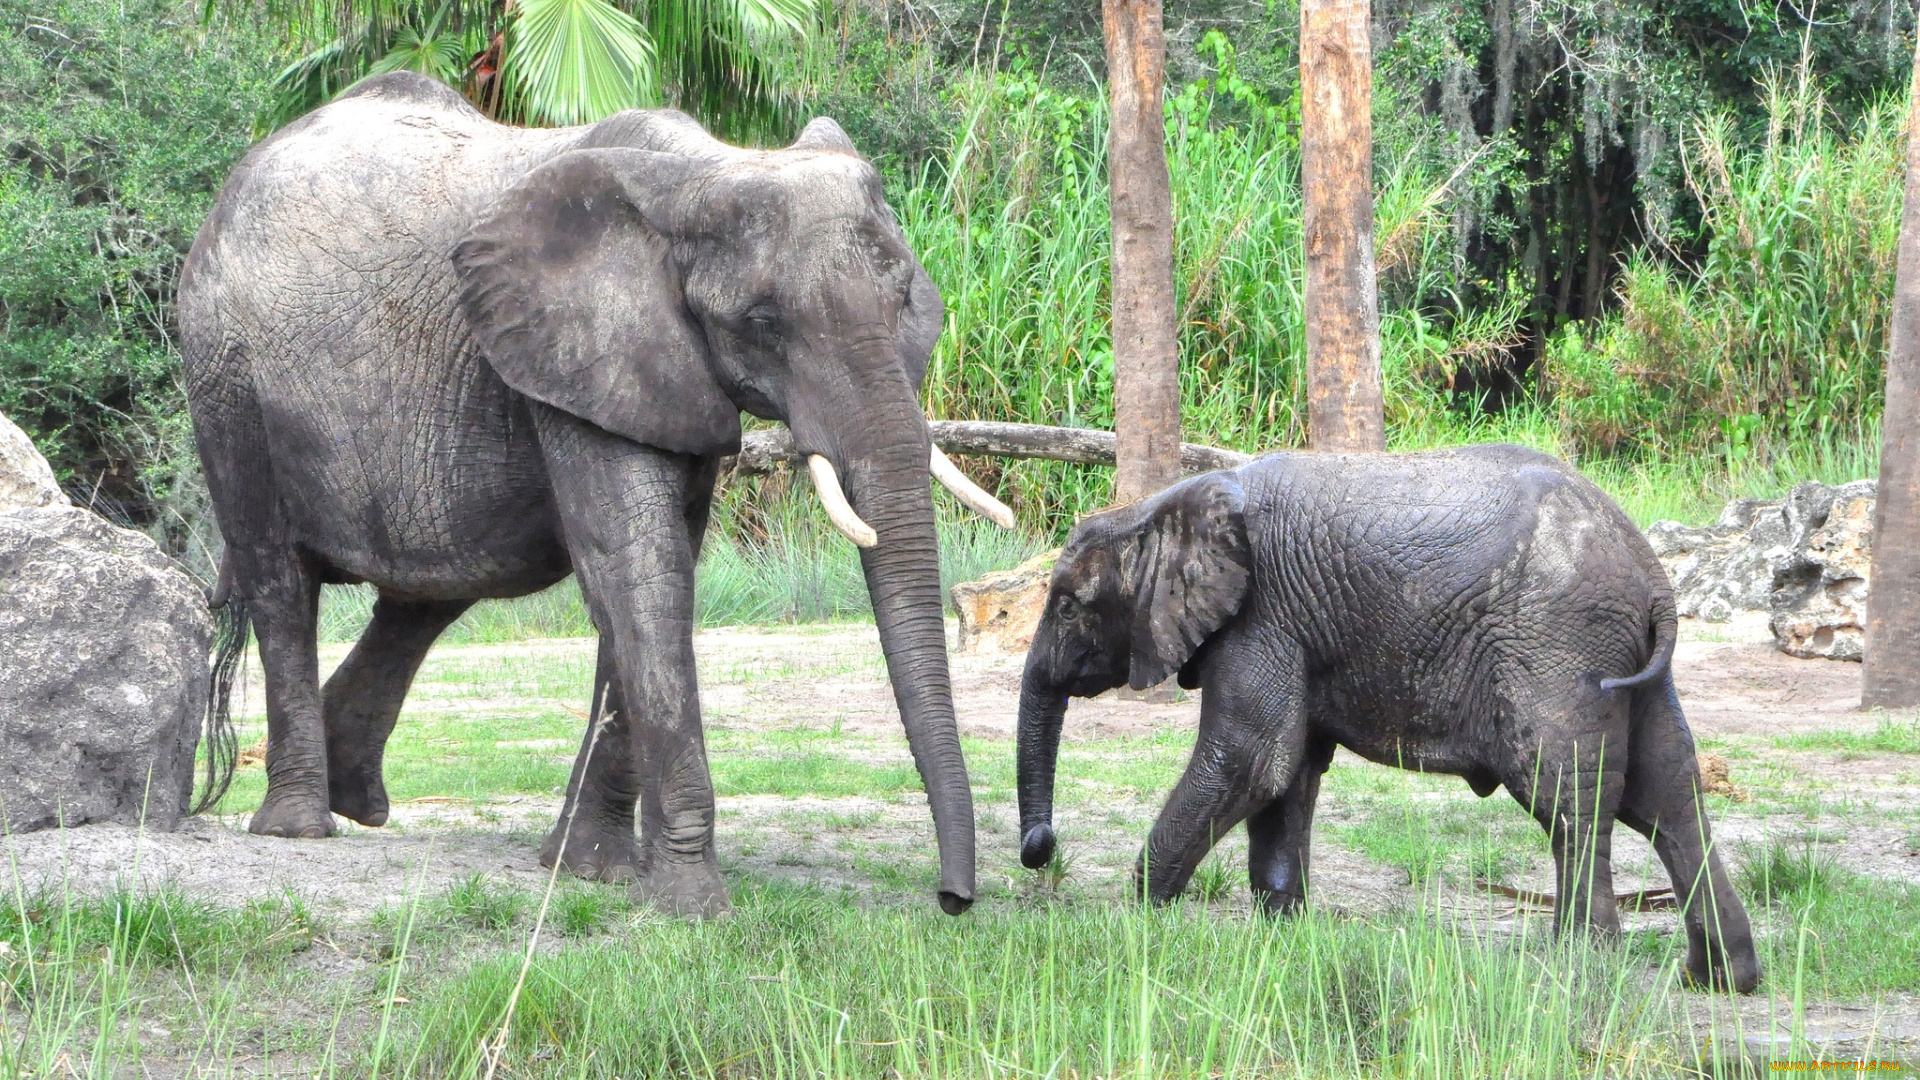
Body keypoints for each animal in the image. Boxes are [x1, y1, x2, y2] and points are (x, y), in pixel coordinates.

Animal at [176, 71, 990, 910]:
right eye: (763, 319)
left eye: (904, 300)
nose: (952, 900)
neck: (703, 171)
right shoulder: (574, 353)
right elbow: (641, 571)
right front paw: (691, 904)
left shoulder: (655, 372)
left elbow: (646, 573)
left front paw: (588, 868)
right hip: (226, 375)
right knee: (280, 580)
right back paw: (299, 826)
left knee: (425, 595)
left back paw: (354, 799)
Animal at [1021, 441, 1758, 991]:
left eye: (1068, 604)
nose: (1040, 849)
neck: (1164, 506)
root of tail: (1654, 577)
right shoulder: (1290, 627)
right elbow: (1289, 773)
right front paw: (1282, 930)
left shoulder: (1263, 617)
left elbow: (1251, 760)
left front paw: (1138, 916)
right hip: (1622, 663)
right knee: (1666, 792)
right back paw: (1721, 979)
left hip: (1559, 645)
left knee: (1568, 795)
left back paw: (1578, 964)